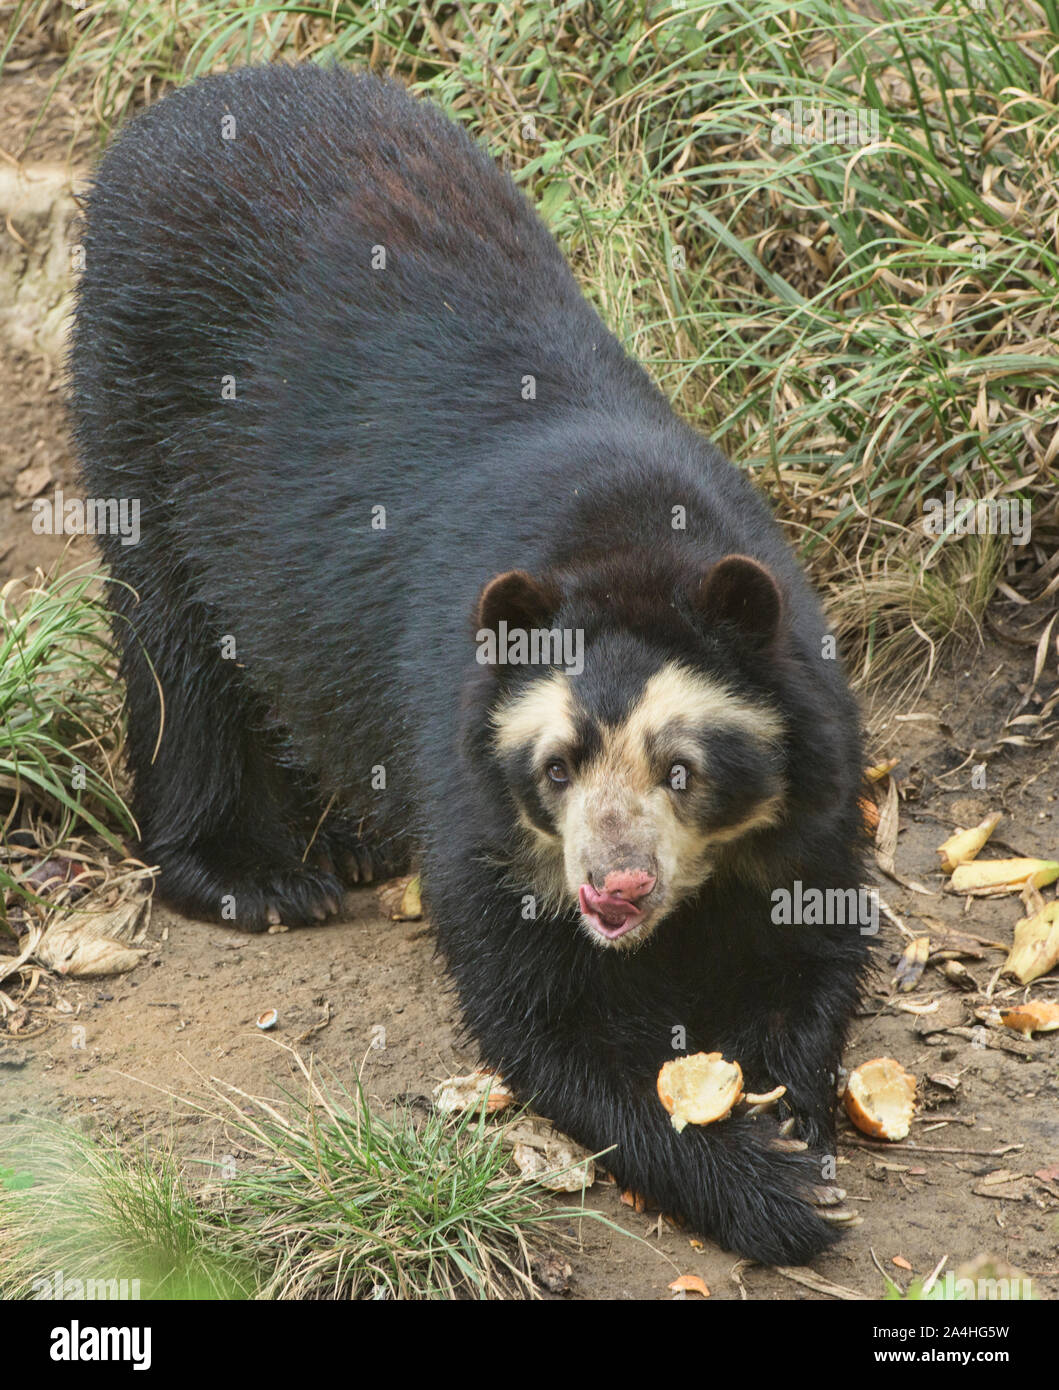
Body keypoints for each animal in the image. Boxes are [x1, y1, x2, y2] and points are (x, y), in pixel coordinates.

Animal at [72, 59, 867, 1267]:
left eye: (682, 770)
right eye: (557, 769)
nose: (611, 888)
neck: (629, 543)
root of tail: (186, 101)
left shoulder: (809, 744)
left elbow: (814, 926)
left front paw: (789, 1102)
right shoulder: (474, 778)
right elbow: (541, 1016)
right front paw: (766, 1189)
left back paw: (347, 838)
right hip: (137, 406)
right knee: (175, 652)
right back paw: (258, 873)